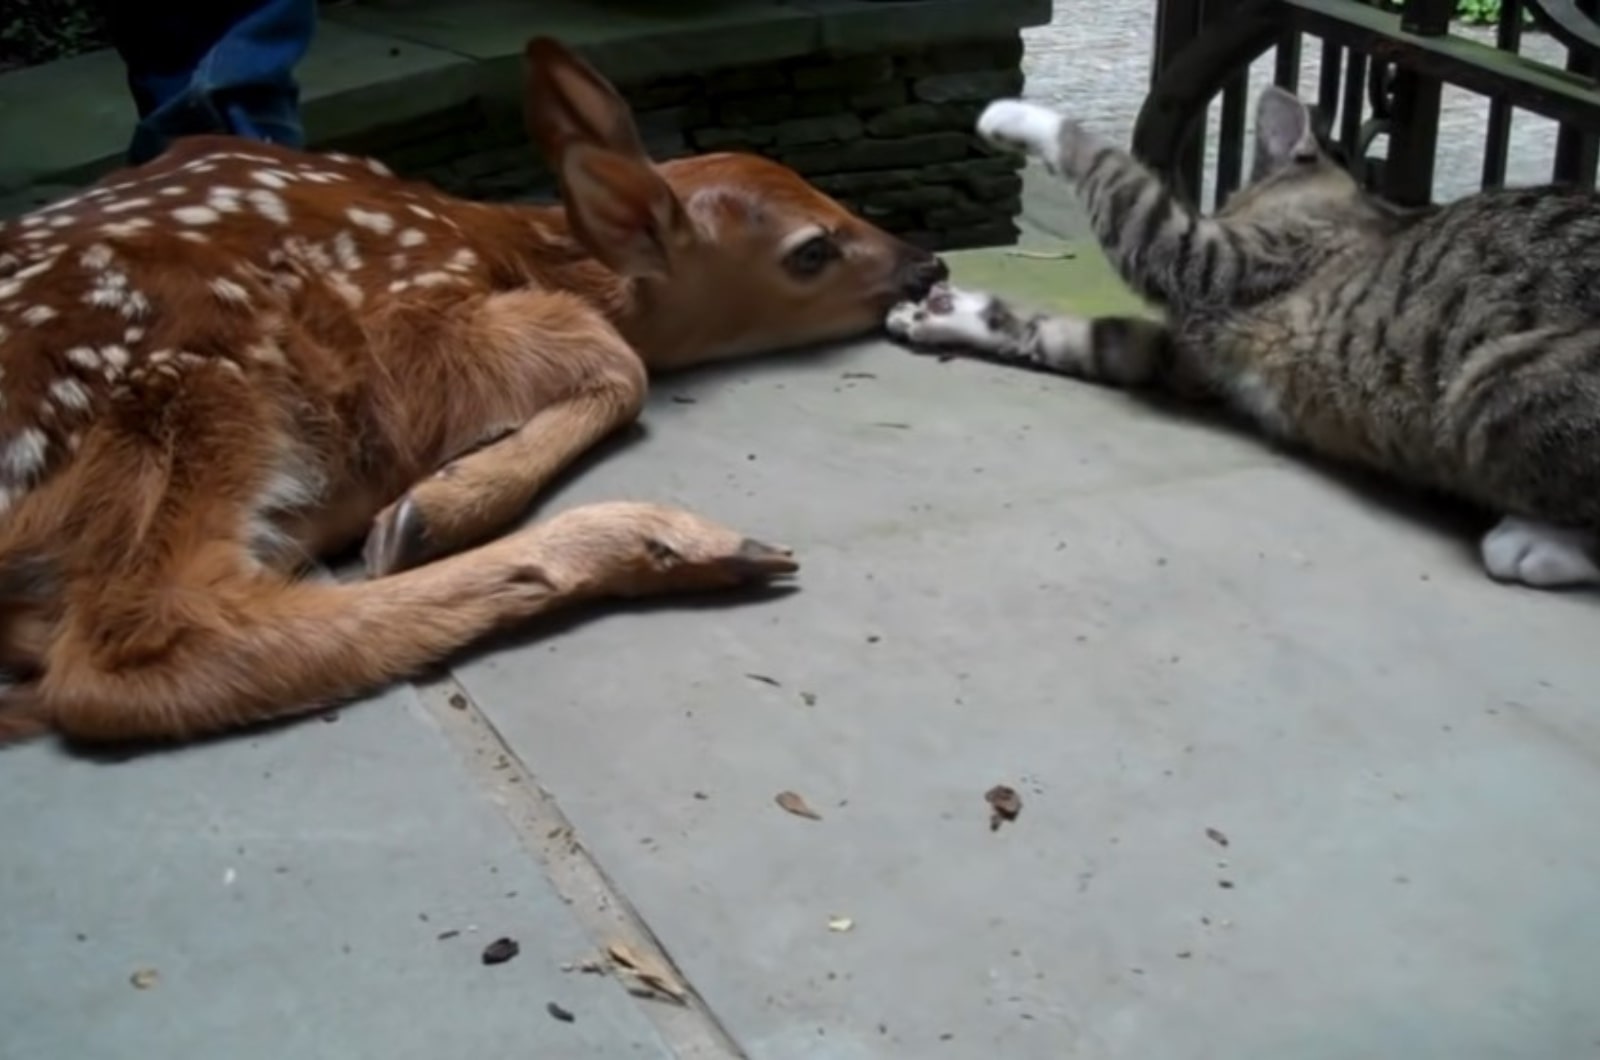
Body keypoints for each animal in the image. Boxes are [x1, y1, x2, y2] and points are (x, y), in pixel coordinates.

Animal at [0, 35, 947, 746]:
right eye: (812, 251)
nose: (928, 264)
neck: (507, 246)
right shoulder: (418, 324)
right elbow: (618, 362)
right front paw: (439, 502)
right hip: (195, 387)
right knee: (128, 653)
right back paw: (662, 540)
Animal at [896, 85, 1600, 589]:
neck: (1354, 213)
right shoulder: (1184, 355)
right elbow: (1069, 335)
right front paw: (951, 314)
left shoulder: (1200, 257)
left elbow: (1109, 167)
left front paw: (1017, 115)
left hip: (1496, 374)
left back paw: (1538, 544)